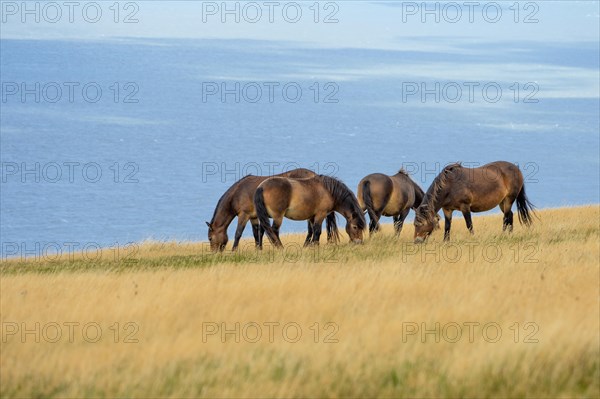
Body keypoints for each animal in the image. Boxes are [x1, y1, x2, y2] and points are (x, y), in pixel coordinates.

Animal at [205, 170, 338, 252]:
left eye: (210, 238)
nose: (214, 253)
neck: (238, 192)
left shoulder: (244, 215)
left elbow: (238, 233)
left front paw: (234, 250)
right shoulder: (254, 217)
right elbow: (257, 233)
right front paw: (258, 249)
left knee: (311, 230)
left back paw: (306, 246)